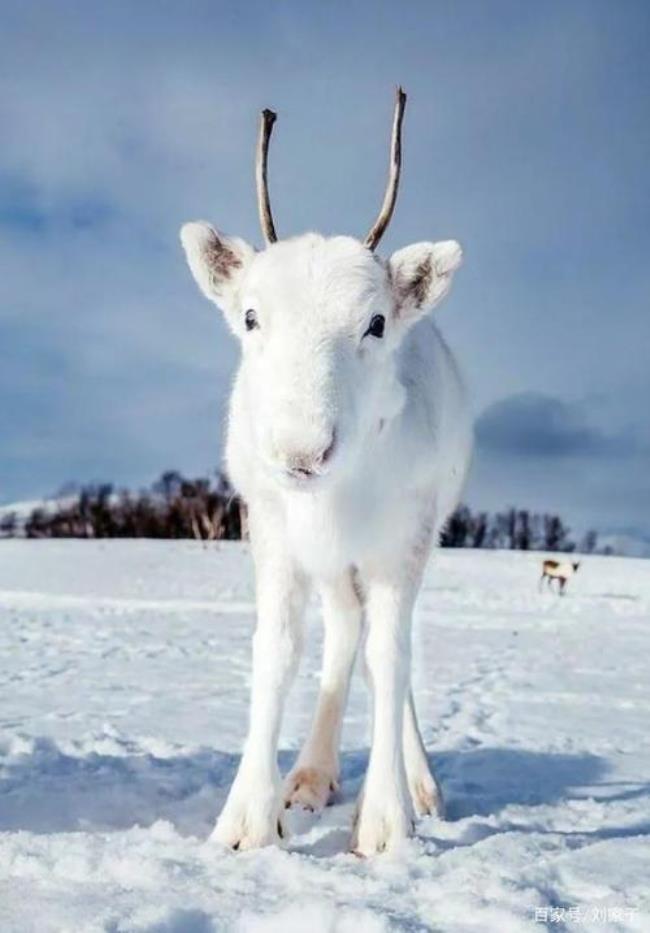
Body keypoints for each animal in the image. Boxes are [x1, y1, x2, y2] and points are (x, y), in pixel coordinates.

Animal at [180, 91, 468, 856]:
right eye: (251, 317)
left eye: (376, 323)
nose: (301, 453)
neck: (334, 498)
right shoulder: (272, 528)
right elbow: (278, 651)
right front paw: (246, 822)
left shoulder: (404, 536)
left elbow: (391, 658)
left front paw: (387, 822)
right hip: (333, 565)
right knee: (343, 629)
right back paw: (311, 774)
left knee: (386, 647)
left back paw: (418, 784)